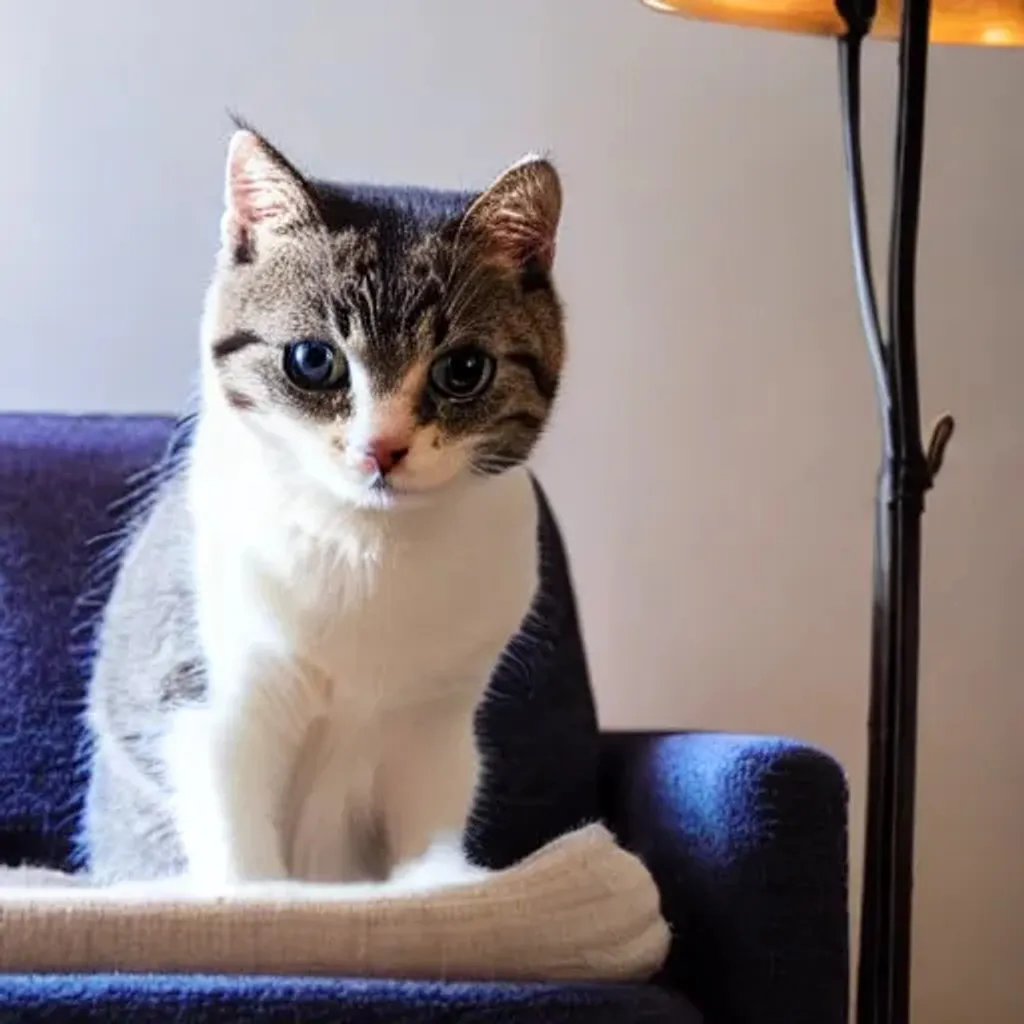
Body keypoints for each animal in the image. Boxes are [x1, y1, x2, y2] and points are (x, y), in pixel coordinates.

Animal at [81, 121, 569, 888]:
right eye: (313, 361)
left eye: (463, 370)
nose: (382, 448)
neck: (370, 545)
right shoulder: (214, 699)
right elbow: (240, 851)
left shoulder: (437, 725)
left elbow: (428, 825)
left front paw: (441, 884)